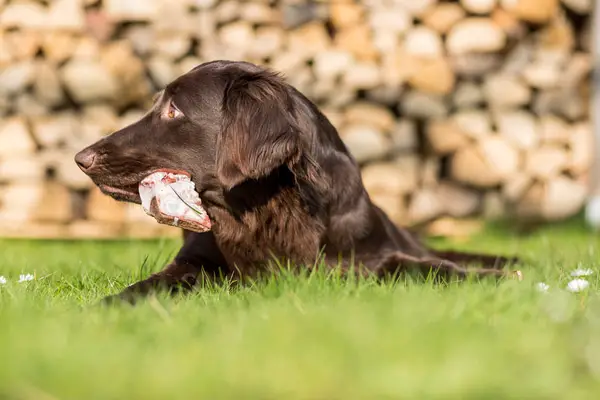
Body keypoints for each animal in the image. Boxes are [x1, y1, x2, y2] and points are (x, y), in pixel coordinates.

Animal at [75, 60, 516, 304]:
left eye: (173, 110)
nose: (81, 158)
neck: (262, 206)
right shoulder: (196, 261)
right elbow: (153, 283)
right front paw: (109, 306)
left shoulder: (366, 258)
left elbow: (427, 267)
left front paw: (494, 278)